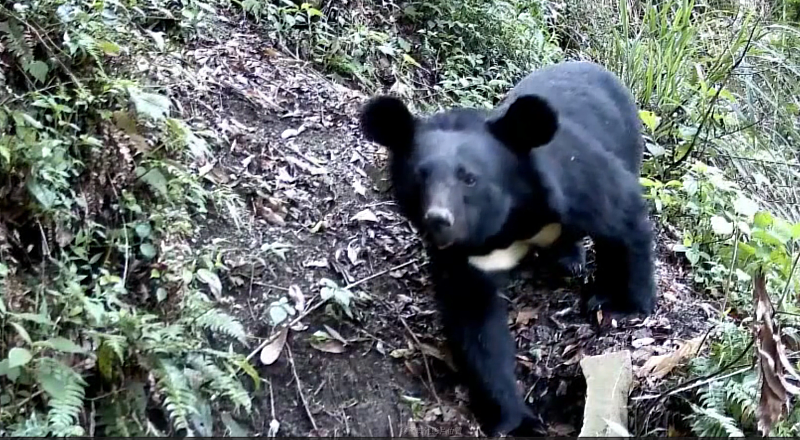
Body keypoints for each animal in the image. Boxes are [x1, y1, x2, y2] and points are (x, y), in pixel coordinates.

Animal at [360, 60, 656, 434]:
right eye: (420, 177)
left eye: (469, 178)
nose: (438, 219)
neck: (508, 223)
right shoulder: (464, 258)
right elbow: (475, 322)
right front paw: (516, 421)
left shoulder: (572, 180)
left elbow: (622, 217)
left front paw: (623, 306)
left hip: (627, 143)